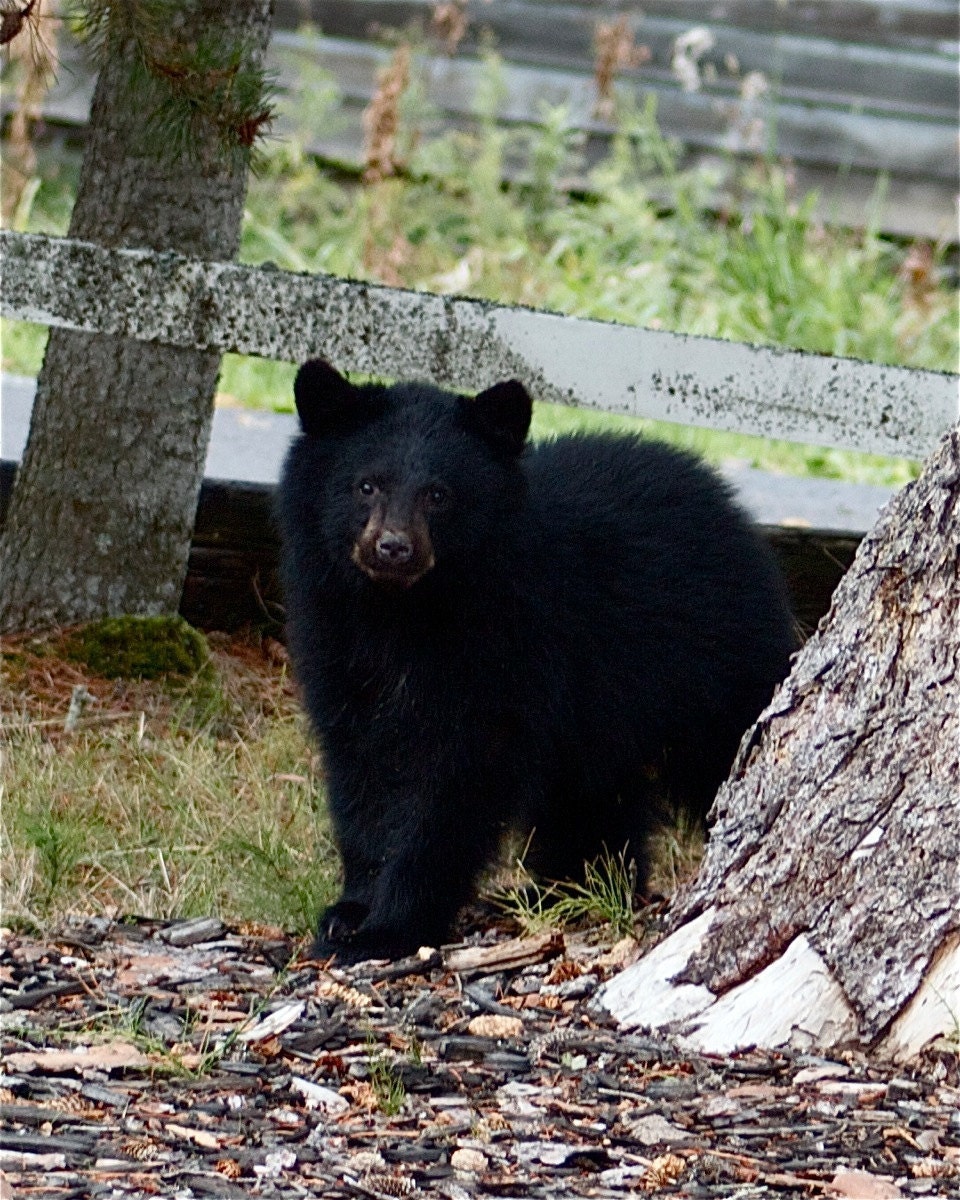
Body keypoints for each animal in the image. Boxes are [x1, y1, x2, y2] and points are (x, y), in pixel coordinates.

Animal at [277, 359, 794, 963]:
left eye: (438, 494)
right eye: (365, 484)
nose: (393, 548)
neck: (402, 614)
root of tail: (733, 510)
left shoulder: (505, 651)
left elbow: (454, 788)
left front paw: (389, 929)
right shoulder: (337, 647)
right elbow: (360, 777)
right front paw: (348, 911)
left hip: (709, 664)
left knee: (722, 746)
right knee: (591, 793)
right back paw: (569, 889)